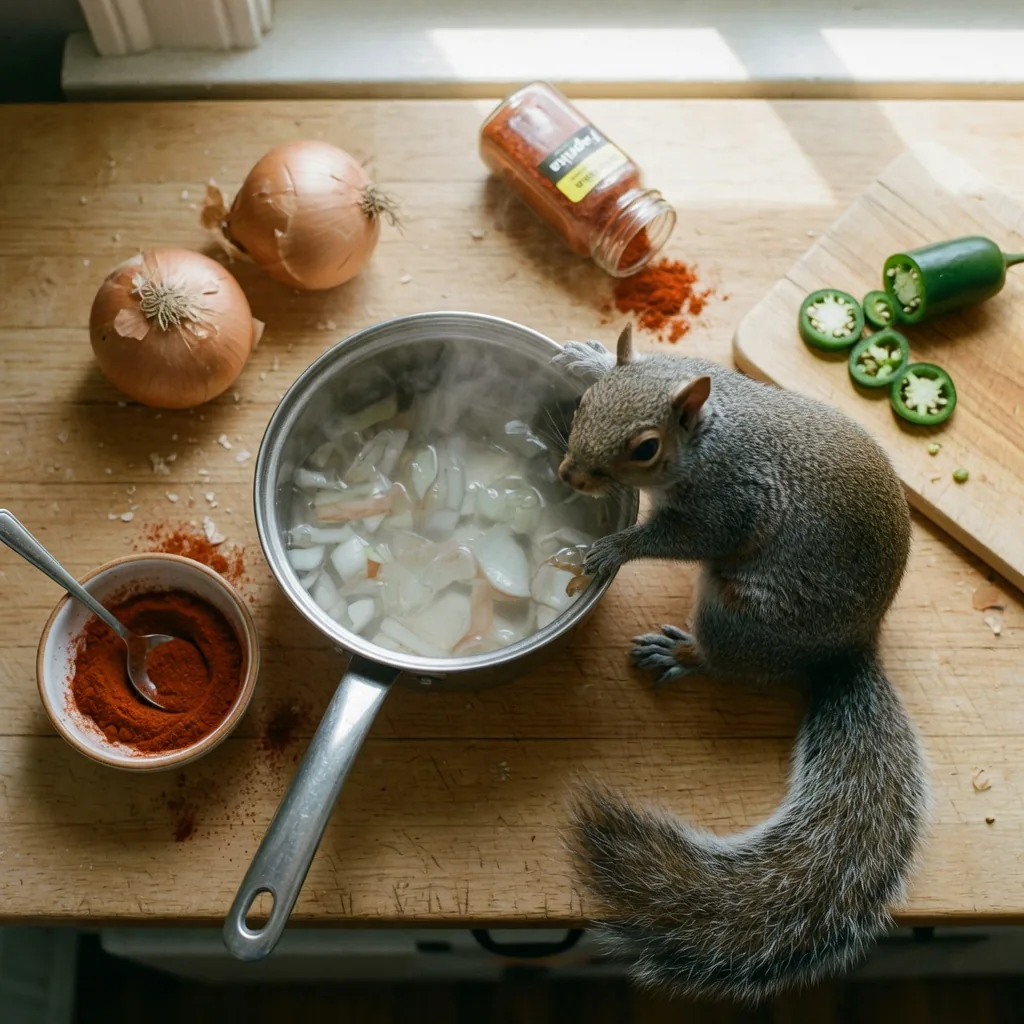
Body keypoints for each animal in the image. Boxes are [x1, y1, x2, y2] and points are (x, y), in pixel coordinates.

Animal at [549, 324, 929, 1003]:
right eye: (587, 402)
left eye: (645, 448)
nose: (570, 473)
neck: (706, 436)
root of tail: (849, 649)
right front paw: (586, 353)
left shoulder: (728, 503)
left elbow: (685, 537)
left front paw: (608, 551)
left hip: (740, 614)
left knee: (726, 658)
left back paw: (682, 653)